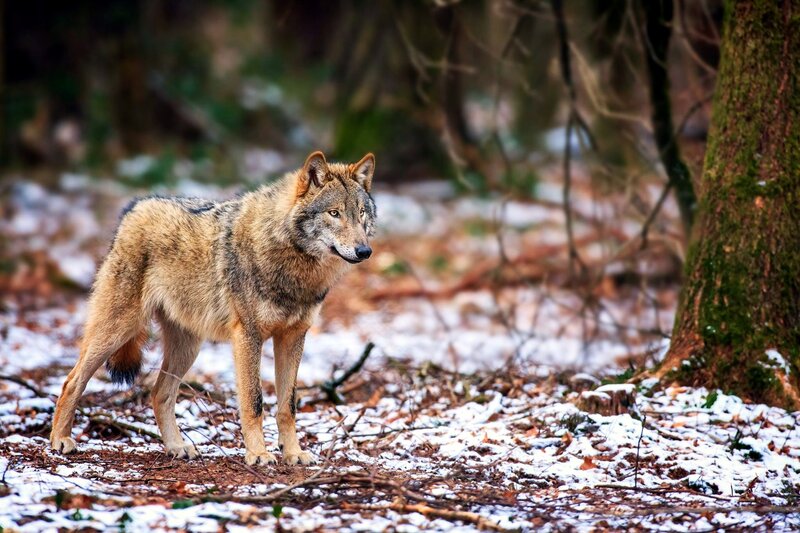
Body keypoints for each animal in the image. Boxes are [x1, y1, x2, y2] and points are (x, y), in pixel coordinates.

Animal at [49, 151, 376, 466]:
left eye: (360, 213)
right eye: (334, 213)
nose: (364, 251)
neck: (293, 263)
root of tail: (135, 206)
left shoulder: (293, 337)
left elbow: (288, 405)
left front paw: (293, 453)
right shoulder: (248, 336)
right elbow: (254, 401)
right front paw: (258, 455)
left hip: (187, 348)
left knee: (159, 393)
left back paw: (177, 447)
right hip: (119, 329)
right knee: (71, 381)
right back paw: (60, 441)